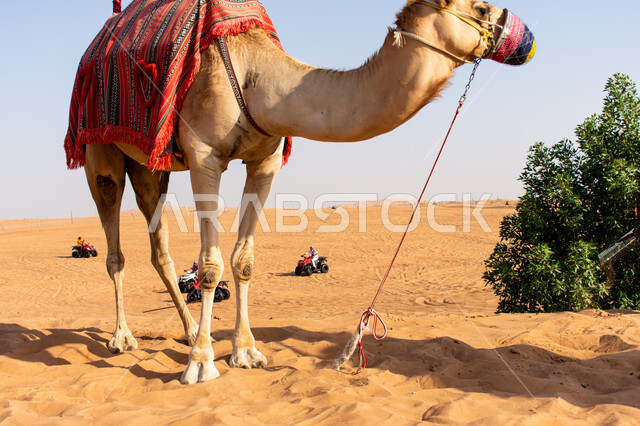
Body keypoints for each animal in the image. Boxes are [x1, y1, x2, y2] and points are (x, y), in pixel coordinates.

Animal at [79, 0, 534, 384]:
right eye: (480, 8)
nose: (527, 38)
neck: (255, 77)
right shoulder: (204, 155)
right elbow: (209, 266)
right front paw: (202, 364)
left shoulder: (266, 160)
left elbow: (243, 260)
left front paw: (246, 353)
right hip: (99, 151)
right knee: (114, 243)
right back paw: (124, 338)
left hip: (148, 165)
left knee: (158, 244)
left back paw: (190, 331)